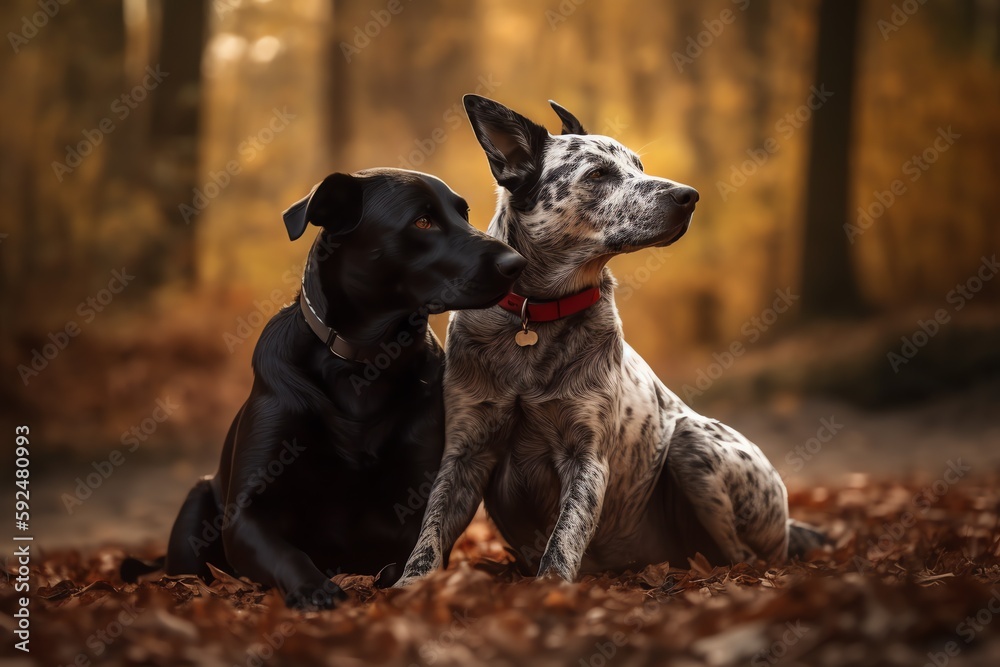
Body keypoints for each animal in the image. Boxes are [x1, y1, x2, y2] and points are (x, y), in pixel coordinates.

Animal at [123, 170, 524, 608]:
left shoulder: (422, 498)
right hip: (196, 502)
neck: (364, 362)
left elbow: (410, 556)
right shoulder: (245, 512)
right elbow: (286, 552)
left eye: (462, 214)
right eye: (422, 221)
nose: (516, 263)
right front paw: (314, 589)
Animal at [394, 96, 824, 588]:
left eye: (639, 166)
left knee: (745, 556)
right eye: (598, 173)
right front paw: (408, 586)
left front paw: (550, 589)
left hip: (693, 444)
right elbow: (430, 533)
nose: (689, 196)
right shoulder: (465, 452)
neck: (537, 314)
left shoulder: (586, 456)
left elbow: (564, 537)